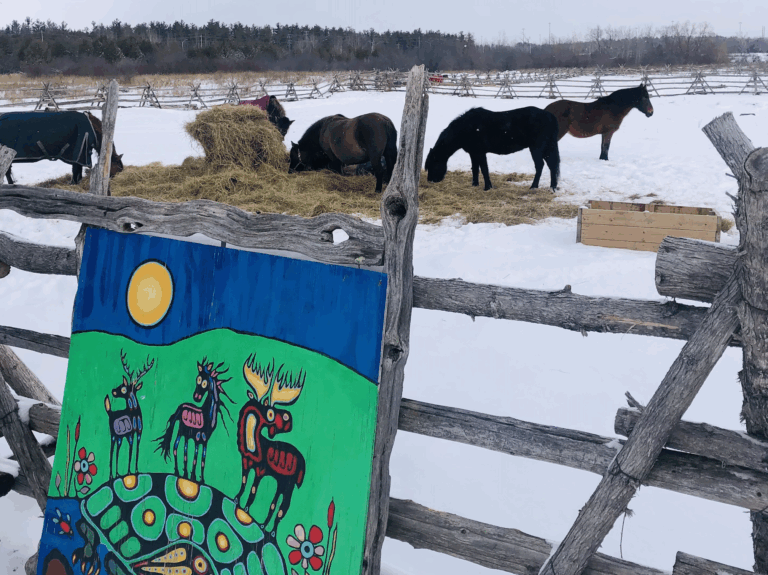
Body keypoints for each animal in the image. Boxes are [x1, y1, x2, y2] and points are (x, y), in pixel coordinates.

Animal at [425, 106, 560, 191]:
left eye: (433, 164)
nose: (430, 180)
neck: (465, 128)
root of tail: (550, 116)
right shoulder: (473, 153)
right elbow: (475, 169)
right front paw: (474, 185)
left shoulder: (480, 153)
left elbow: (484, 169)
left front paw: (487, 187)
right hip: (547, 149)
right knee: (552, 166)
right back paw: (552, 187)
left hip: (536, 149)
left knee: (540, 166)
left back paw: (533, 186)